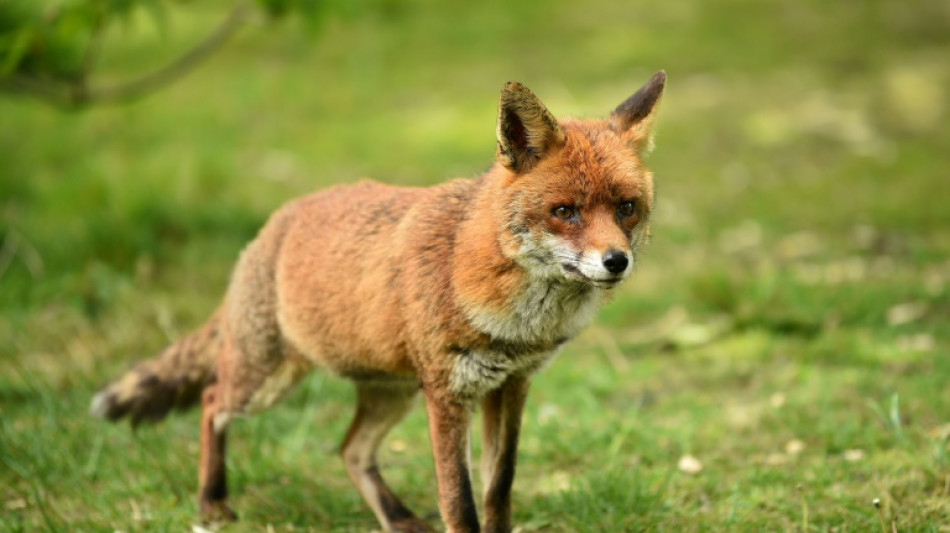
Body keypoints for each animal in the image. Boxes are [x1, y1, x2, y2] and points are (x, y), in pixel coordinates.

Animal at [91, 71, 668, 532]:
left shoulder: (512, 386)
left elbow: (498, 490)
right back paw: (212, 502)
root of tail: (276, 222)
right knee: (212, 402)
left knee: (350, 451)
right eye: (565, 211)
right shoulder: (448, 394)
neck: (516, 321)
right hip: (266, 379)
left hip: (392, 392)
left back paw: (396, 519)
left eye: (626, 208)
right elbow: (459, 501)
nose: (616, 261)